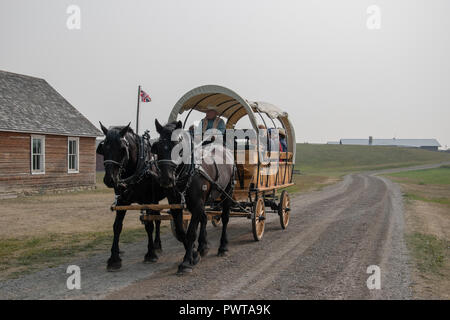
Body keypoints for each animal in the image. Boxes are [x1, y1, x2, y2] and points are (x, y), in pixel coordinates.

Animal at [96, 122, 165, 270]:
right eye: (103, 148)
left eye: (123, 149)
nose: (109, 179)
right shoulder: (121, 201)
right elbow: (117, 226)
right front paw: (114, 258)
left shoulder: (148, 200)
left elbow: (148, 225)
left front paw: (150, 254)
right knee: (158, 219)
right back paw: (157, 244)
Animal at [152, 119, 236, 274]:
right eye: (157, 147)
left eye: (177, 147)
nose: (166, 179)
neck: (189, 171)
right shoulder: (176, 204)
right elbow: (181, 232)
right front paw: (195, 254)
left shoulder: (197, 203)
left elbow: (191, 232)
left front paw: (186, 261)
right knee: (204, 217)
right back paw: (203, 246)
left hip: (227, 192)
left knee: (225, 218)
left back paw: (223, 247)